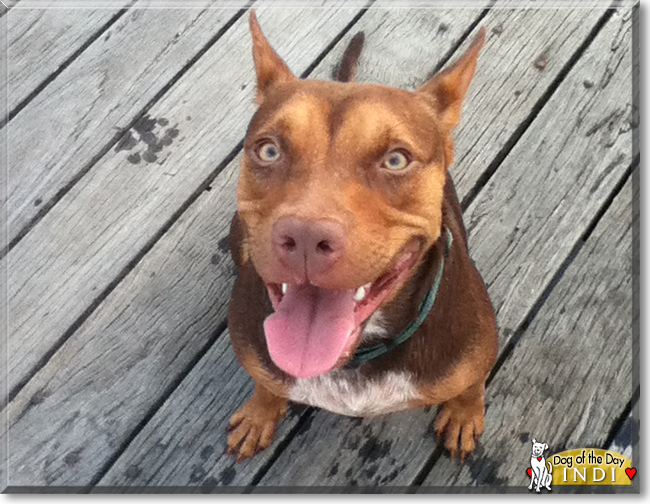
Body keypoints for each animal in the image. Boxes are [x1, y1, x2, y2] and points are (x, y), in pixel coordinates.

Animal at [224, 9, 496, 462]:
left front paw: (464, 413)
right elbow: (265, 382)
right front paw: (260, 411)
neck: (357, 357)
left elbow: (472, 385)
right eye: (268, 150)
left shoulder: (477, 352)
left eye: (396, 160)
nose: (305, 236)